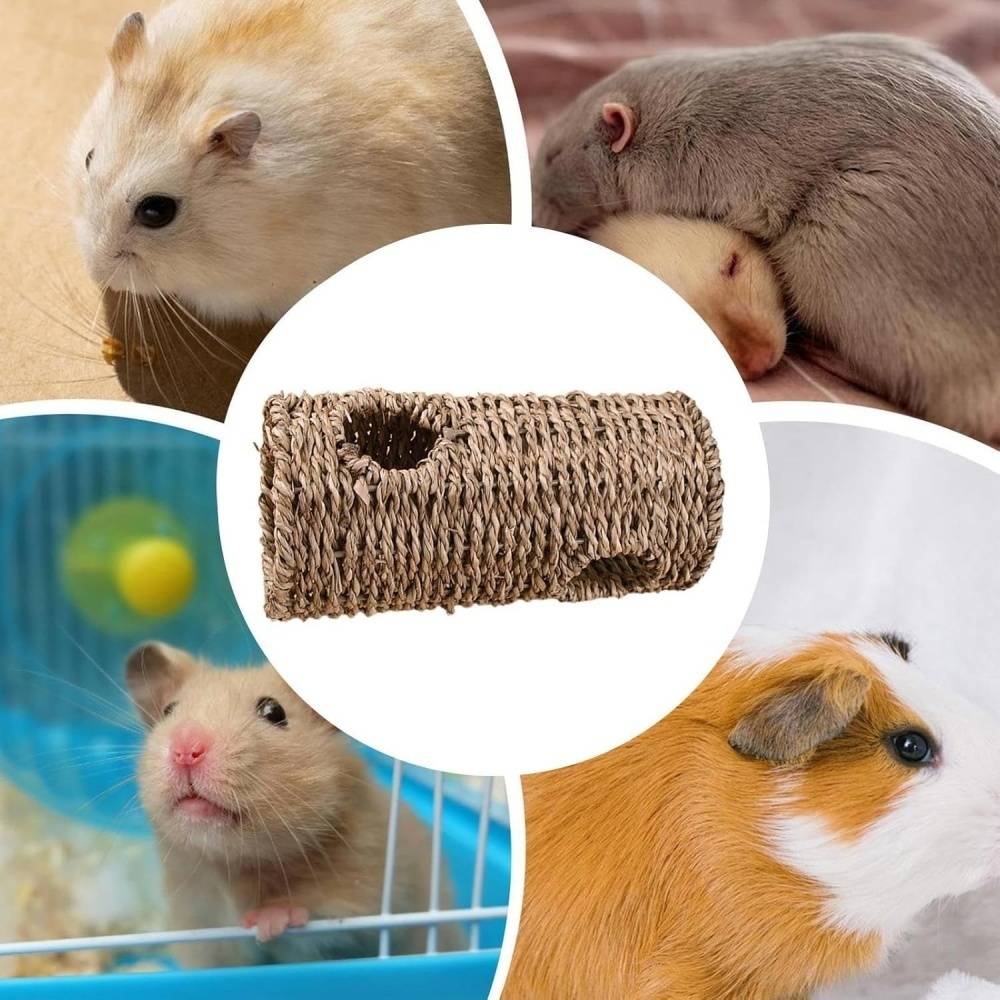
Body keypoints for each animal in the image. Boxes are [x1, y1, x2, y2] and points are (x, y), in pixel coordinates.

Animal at [125, 642, 461, 968]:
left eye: (274, 712)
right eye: (169, 710)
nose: (185, 749)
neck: (233, 867)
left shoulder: (361, 905)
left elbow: (315, 924)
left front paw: (267, 921)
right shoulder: (202, 933)